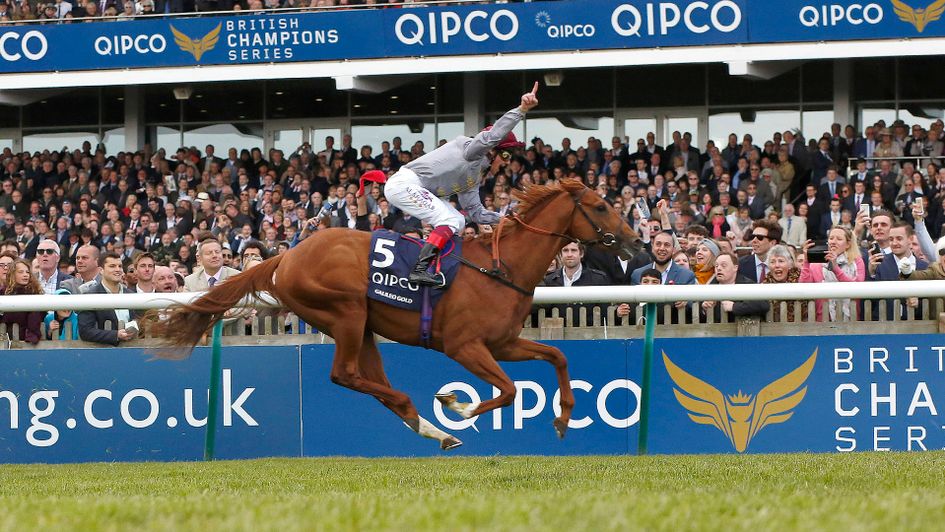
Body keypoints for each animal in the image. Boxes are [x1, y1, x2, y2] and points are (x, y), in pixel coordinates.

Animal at [151, 179, 640, 448]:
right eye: (600, 206)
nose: (635, 241)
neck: (502, 268)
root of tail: (286, 255)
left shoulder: (502, 342)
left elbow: (557, 357)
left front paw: (563, 417)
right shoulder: (464, 346)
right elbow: (508, 391)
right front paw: (459, 404)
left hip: (363, 326)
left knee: (370, 381)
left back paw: (432, 430)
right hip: (345, 312)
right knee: (345, 375)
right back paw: (431, 417)